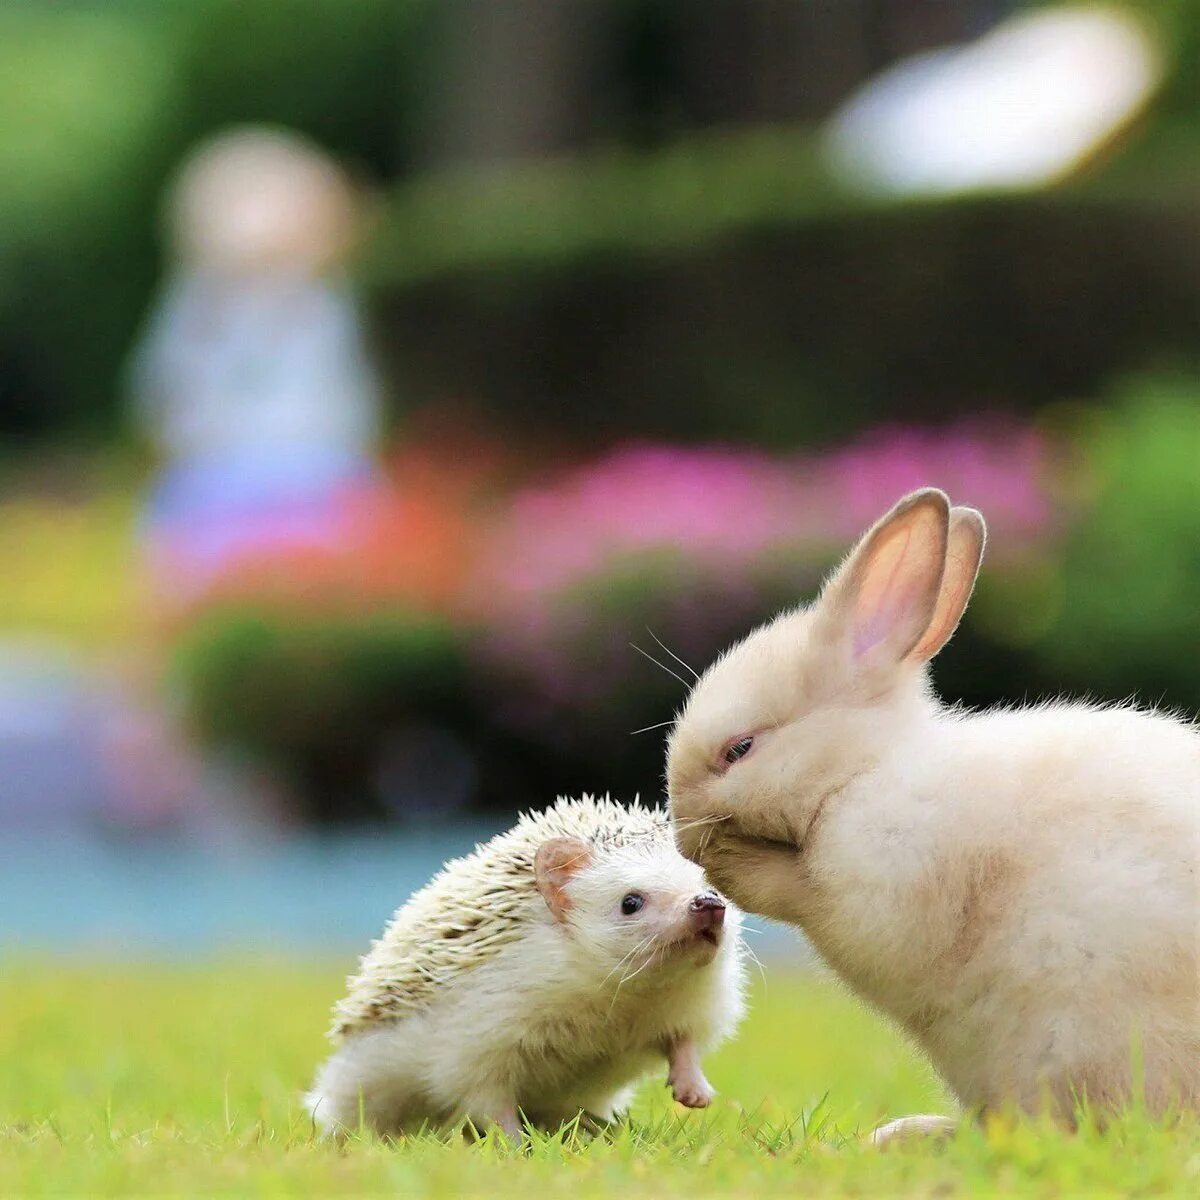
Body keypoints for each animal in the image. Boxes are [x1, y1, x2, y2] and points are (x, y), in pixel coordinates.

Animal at [672, 482, 1195, 1137]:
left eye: (739, 749)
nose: (682, 835)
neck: (862, 770)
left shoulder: (877, 881)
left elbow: (798, 890)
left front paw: (727, 864)